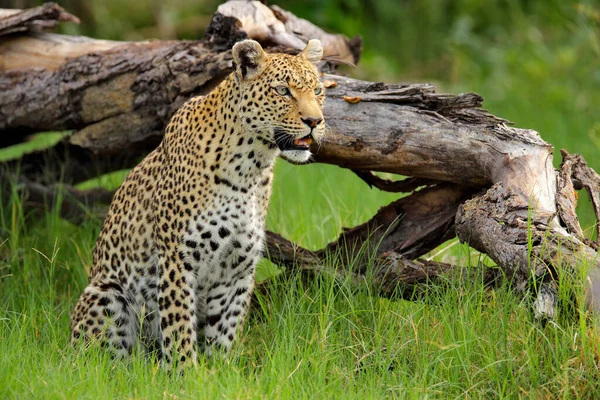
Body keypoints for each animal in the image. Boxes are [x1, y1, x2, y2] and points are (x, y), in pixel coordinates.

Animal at [70, 39, 326, 368]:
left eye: (318, 90)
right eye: (282, 91)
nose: (315, 121)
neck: (251, 167)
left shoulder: (237, 269)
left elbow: (225, 330)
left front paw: (219, 371)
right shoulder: (177, 260)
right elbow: (179, 328)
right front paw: (186, 373)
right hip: (106, 294)